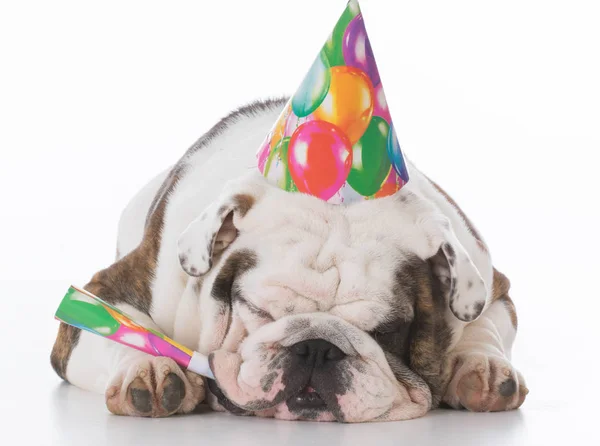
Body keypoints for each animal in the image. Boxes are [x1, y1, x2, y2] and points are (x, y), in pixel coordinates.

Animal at [52, 97, 528, 422]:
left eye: (388, 331)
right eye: (257, 310)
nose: (317, 347)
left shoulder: (491, 282)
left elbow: (482, 323)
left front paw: (481, 364)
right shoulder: (110, 288)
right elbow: (118, 329)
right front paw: (150, 365)